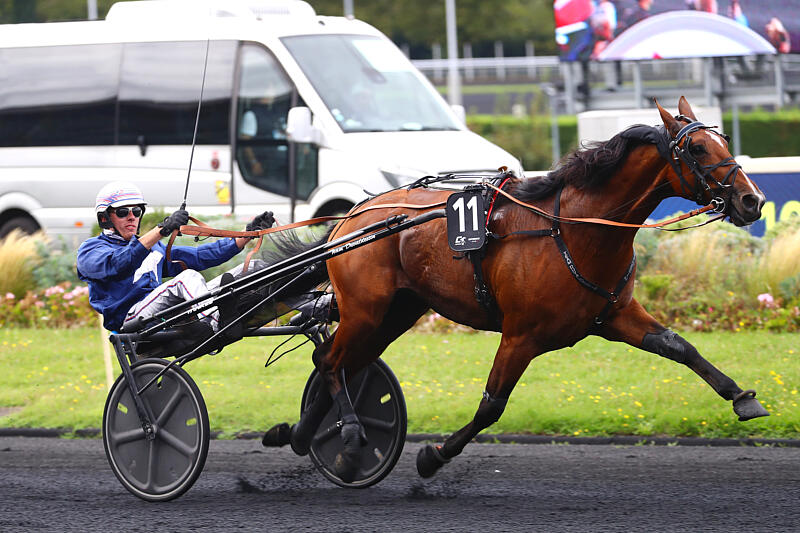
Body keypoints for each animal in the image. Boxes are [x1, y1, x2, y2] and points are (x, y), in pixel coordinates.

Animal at [267, 97, 768, 482]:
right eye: (698, 148)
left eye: (724, 141)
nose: (753, 200)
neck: (574, 229)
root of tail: (351, 216)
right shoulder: (521, 335)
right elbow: (491, 407)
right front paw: (432, 457)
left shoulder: (613, 315)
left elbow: (679, 346)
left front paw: (743, 398)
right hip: (366, 309)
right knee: (332, 362)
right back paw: (350, 437)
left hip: (397, 312)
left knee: (336, 362)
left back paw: (303, 435)